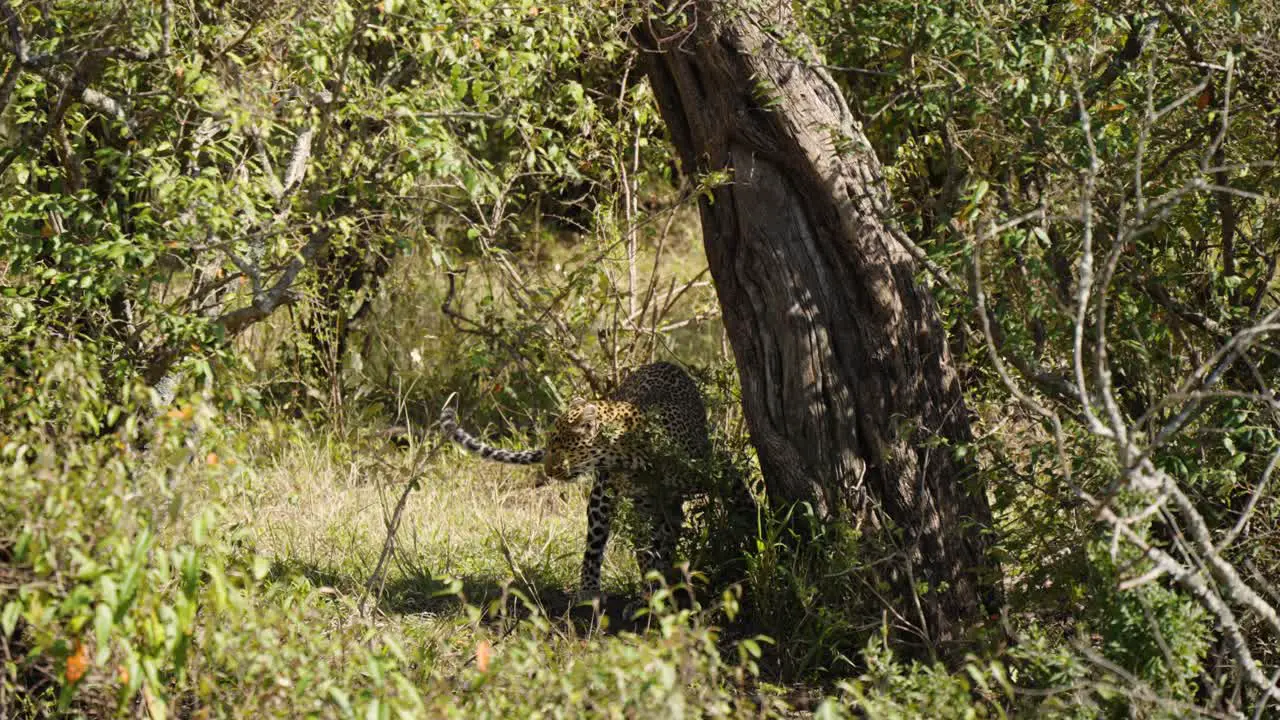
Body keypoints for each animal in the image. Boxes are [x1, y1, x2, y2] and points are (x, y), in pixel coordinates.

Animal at [442, 361, 716, 597]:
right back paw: (589, 591)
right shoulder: (642, 505)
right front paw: (650, 593)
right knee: (595, 546)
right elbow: (647, 551)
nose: (548, 471)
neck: (637, 453)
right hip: (602, 496)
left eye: (559, 446)